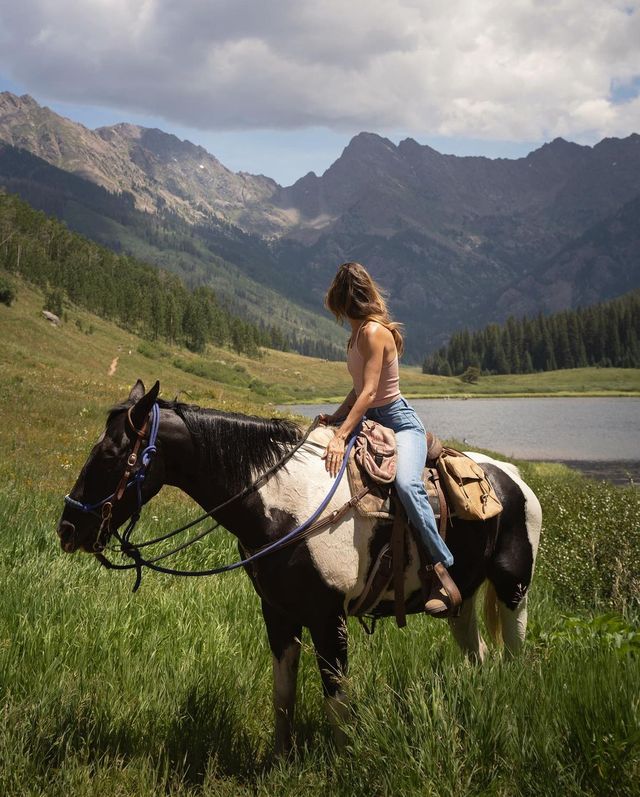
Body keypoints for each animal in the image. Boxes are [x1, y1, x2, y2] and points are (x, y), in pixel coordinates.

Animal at [58, 380, 540, 752]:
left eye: (110, 455)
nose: (67, 528)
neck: (283, 506)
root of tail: (515, 479)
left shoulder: (329, 621)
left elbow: (337, 701)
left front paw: (345, 761)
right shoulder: (277, 613)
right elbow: (283, 693)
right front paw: (280, 759)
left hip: (513, 589)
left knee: (515, 655)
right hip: (463, 598)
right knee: (479, 655)